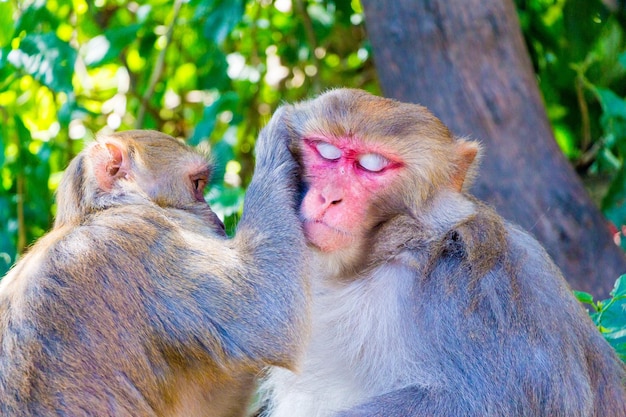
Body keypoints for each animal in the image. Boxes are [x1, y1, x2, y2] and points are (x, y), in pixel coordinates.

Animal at [0, 118, 304, 416]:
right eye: (197, 185)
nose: (217, 221)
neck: (94, 214)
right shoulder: (136, 238)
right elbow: (268, 316)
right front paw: (280, 129)